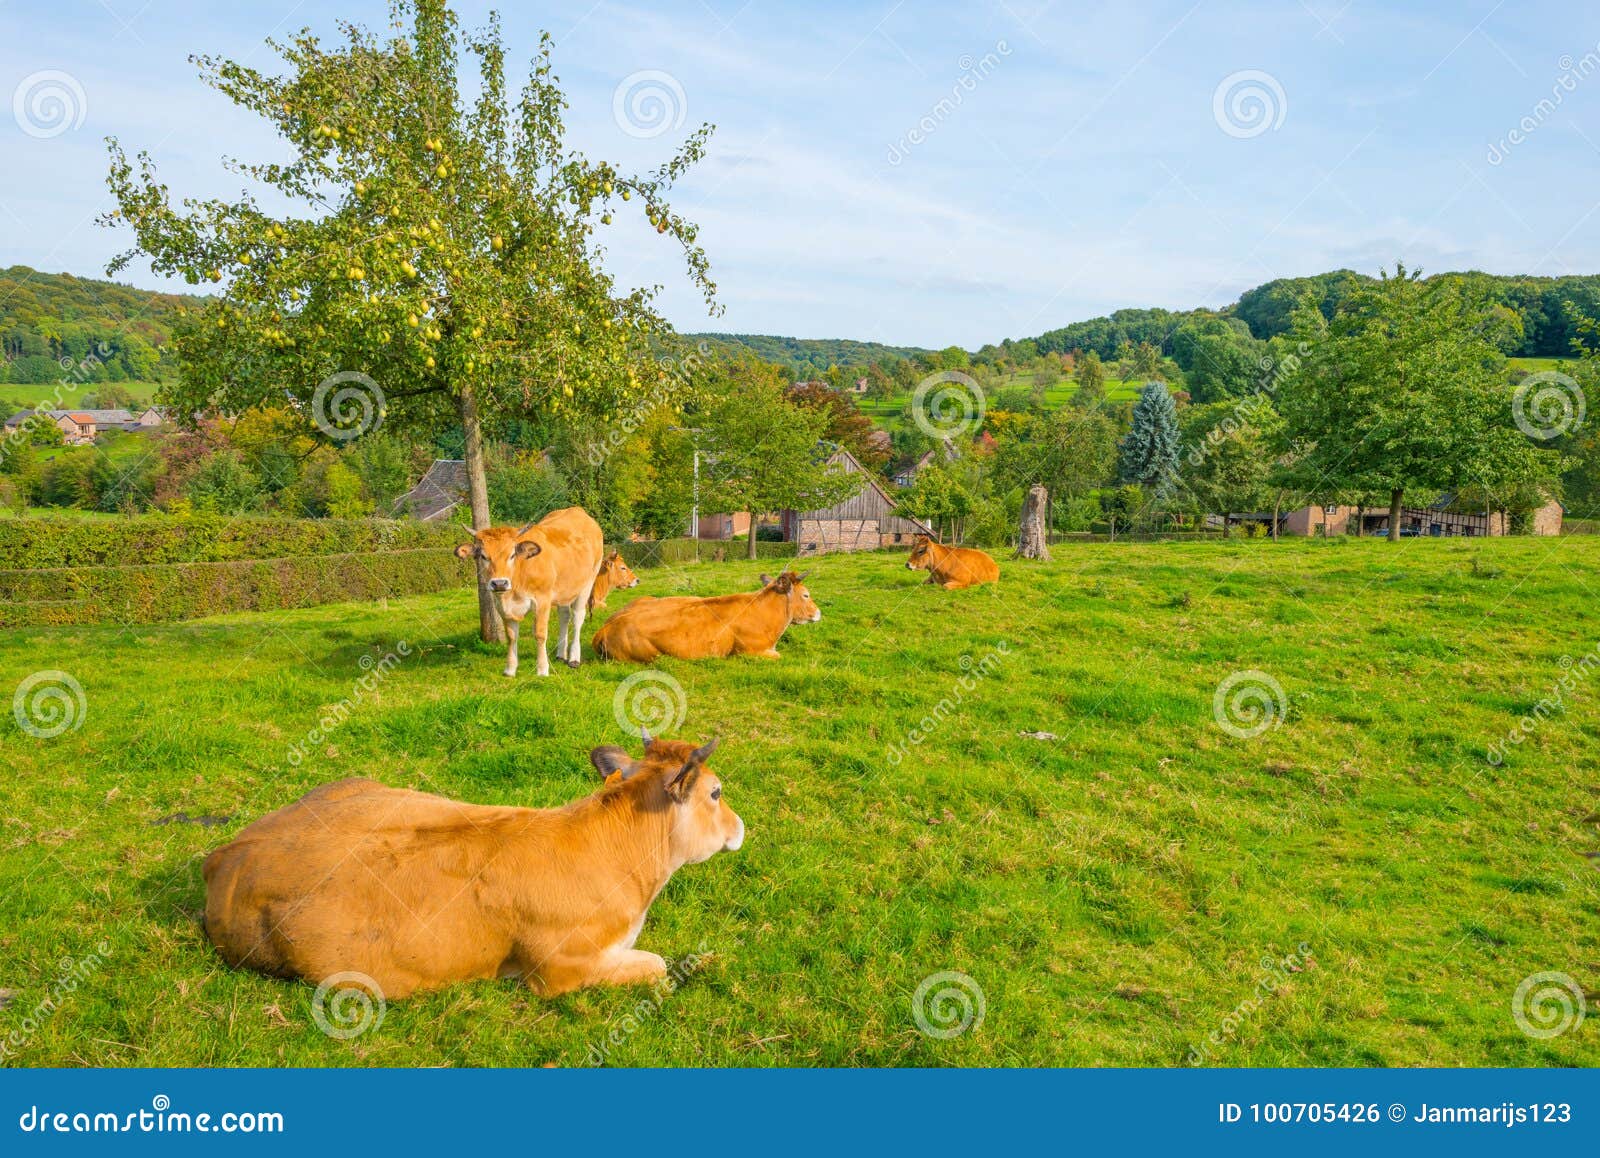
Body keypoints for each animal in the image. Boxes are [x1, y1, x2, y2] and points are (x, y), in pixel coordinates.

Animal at [457, 505, 604, 678]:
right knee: (564, 616)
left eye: (512, 555)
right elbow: (511, 636)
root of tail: (577, 509)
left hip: (588, 580)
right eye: (483, 556)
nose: (499, 583)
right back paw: (561, 654)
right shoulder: (502, 605)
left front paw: (542, 669)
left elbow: (540, 634)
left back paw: (574, 658)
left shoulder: (542, 600)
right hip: (563, 588)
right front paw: (510, 669)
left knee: (577, 617)